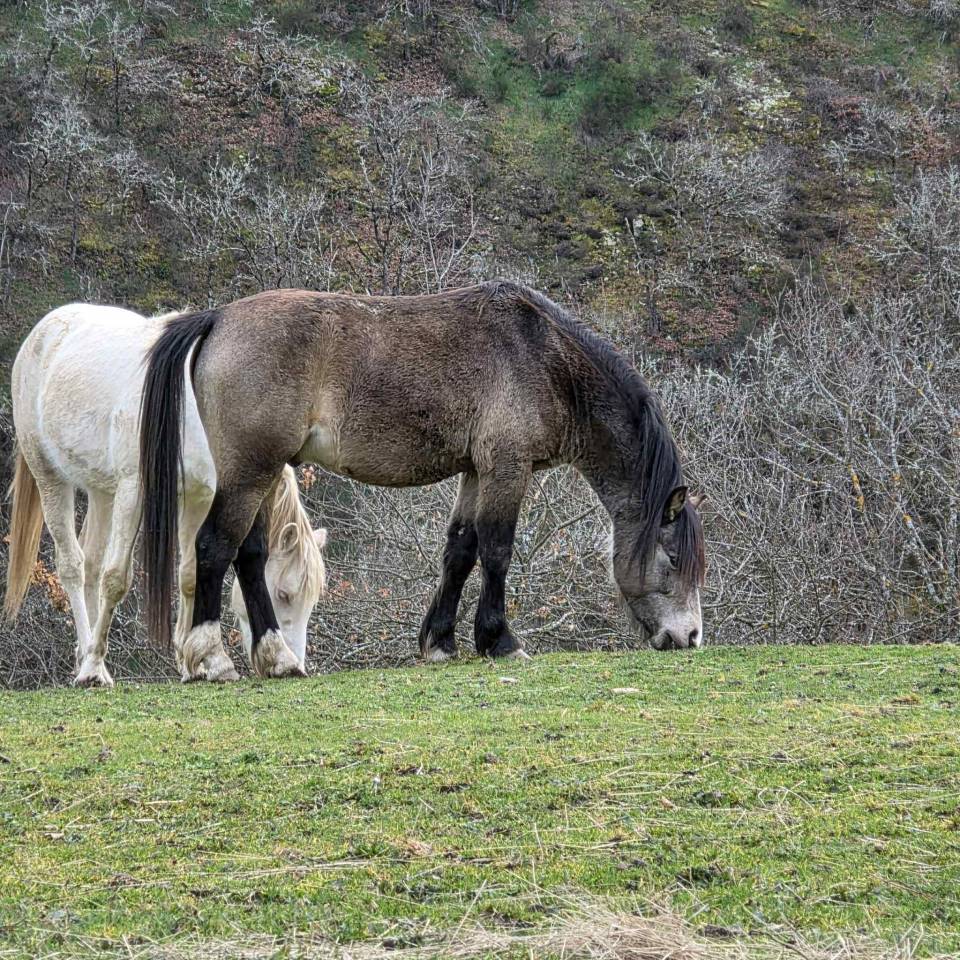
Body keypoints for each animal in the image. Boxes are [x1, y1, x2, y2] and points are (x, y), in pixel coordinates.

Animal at [5, 303, 327, 686]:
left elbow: (189, 575)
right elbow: (116, 579)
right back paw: (90, 667)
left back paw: (89, 659)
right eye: (284, 594)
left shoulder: (199, 498)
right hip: (51, 478)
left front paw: (193, 665)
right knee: (74, 566)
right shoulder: (134, 491)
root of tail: (46, 328)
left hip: (102, 492)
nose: (299, 661)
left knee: (92, 564)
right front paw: (97, 665)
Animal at [138, 281, 705, 676]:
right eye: (673, 559)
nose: (691, 637)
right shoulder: (507, 468)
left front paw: (440, 642)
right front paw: (500, 640)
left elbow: (460, 551)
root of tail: (219, 317)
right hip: (250, 470)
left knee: (250, 557)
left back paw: (277, 659)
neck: (543, 356)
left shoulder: (477, 471)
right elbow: (497, 550)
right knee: (214, 548)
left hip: (261, 473)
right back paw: (213, 660)